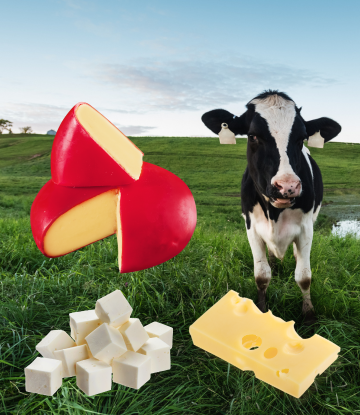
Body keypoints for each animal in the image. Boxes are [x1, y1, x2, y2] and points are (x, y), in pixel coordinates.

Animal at [202, 90, 340, 324]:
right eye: (252, 136)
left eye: (301, 138)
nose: (287, 186)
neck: (276, 212)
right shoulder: (252, 227)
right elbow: (261, 275)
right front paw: (261, 309)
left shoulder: (306, 228)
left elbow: (304, 276)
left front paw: (309, 314)